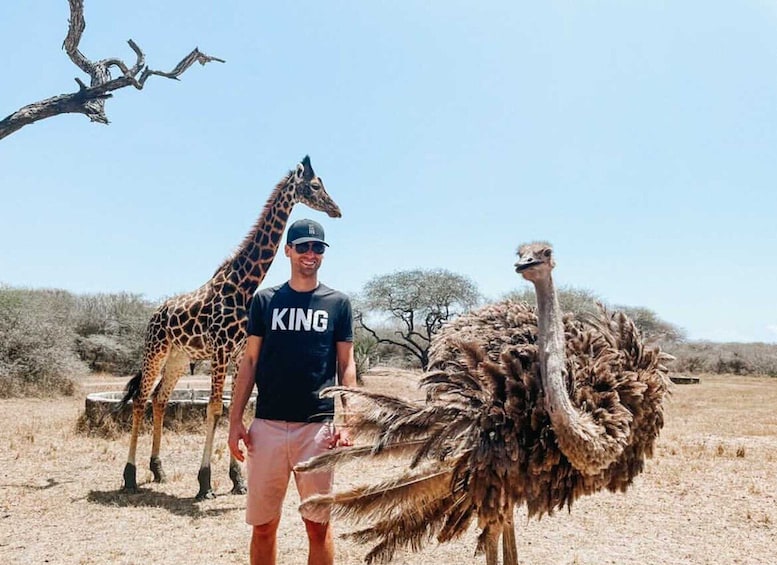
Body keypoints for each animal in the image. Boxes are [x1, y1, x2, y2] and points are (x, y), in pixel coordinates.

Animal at [120, 154, 340, 498]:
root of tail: (155, 313)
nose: (336, 209)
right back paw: (129, 477)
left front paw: (237, 480)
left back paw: (158, 470)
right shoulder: (221, 350)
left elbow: (236, 407)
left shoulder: (238, 354)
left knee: (160, 400)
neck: (244, 284)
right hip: (155, 350)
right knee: (141, 400)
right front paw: (205, 482)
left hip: (178, 358)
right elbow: (214, 408)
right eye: (316, 185)